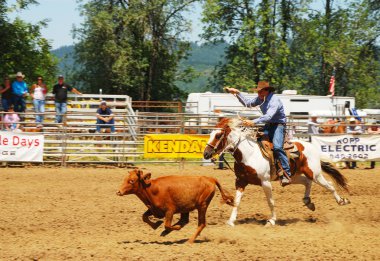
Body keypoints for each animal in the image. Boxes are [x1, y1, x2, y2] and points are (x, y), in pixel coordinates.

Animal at [205, 118, 350, 225]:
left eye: (218, 135)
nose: (206, 154)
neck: (249, 154)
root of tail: (312, 147)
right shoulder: (240, 181)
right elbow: (237, 201)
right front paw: (231, 221)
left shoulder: (265, 182)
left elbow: (271, 201)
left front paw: (272, 220)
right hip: (292, 176)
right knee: (306, 182)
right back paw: (308, 202)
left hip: (315, 174)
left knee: (329, 185)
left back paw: (341, 201)